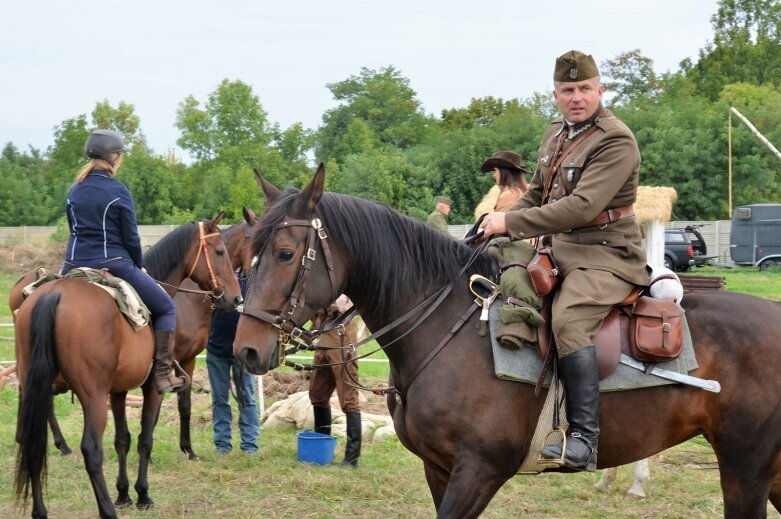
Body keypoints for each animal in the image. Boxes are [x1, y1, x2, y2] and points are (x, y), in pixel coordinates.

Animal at [13, 214, 242, 519]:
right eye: (219, 252)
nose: (236, 298)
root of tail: (55, 294)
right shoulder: (152, 389)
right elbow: (146, 437)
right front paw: (142, 494)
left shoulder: (118, 391)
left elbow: (123, 439)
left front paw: (124, 494)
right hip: (92, 396)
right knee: (91, 449)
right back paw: (107, 510)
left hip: (34, 386)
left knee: (34, 443)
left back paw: (41, 511)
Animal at [235, 167, 780, 519]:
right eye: (248, 254)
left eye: (285, 253)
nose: (246, 349)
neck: (447, 328)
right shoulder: (439, 470)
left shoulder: (479, 471)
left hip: (745, 470)